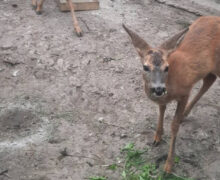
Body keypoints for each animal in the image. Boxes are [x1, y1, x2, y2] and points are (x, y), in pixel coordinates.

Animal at [124, 16, 220, 173]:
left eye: (166, 67)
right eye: (145, 67)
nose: (158, 89)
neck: (171, 83)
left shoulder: (185, 91)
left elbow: (174, 125)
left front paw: (169, 165)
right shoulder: (163, 99)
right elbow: (161, 109)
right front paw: (157, 137)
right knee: (209, 79)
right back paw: (185, 114)